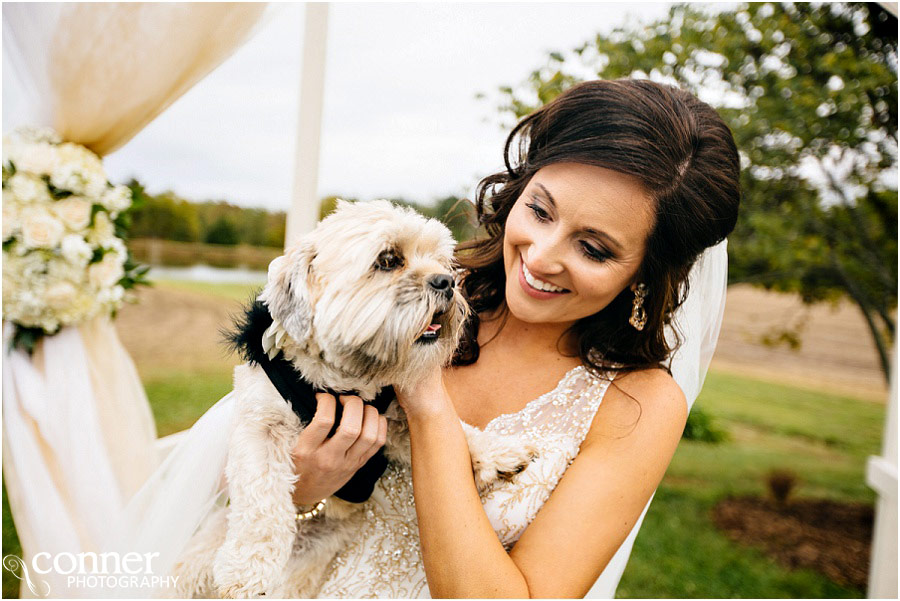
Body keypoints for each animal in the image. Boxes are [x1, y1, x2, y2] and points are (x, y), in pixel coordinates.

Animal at [168, 200, 532, 596]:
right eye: (388, 260)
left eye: (441, 262)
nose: (447, 282)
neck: (340, 383)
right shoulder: (259, 427)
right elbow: (260, 495)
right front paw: (248, 569)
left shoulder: (392, 426)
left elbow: (460, 434)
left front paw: (496, 451)